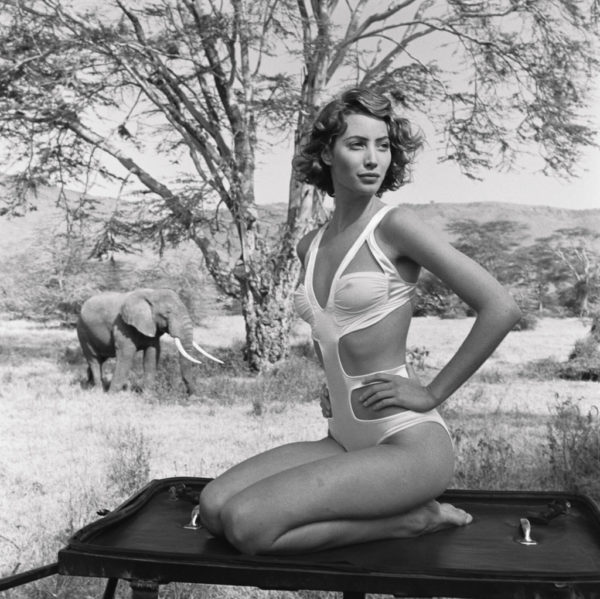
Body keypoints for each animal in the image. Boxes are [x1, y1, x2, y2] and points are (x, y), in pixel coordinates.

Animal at [76, 288, 221, 394]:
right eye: (167, 313)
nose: (191, 395)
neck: (152, 294)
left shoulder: (152, 327)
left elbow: (152, 355)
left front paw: (147, 395)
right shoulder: (122, 325)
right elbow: (126, 356)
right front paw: (112, 396)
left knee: (100, 359)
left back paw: (89, 385)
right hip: (83, 331)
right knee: (94, 359)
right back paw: (97, 391)